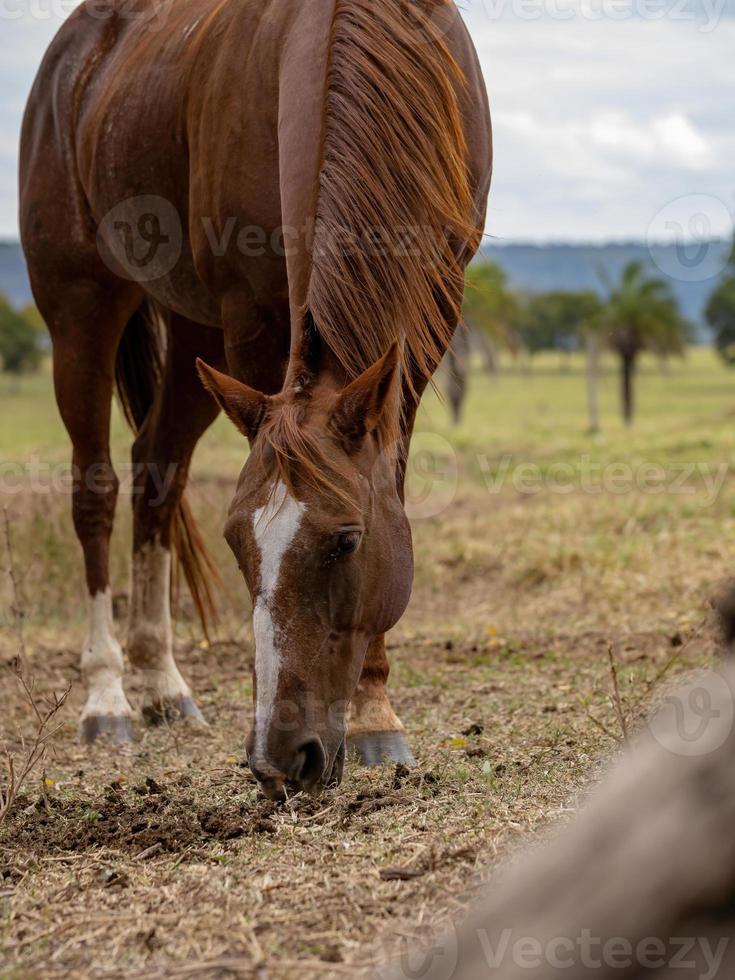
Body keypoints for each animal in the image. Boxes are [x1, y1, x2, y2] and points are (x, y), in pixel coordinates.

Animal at [21, 0, 494, 796]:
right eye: (237, 542)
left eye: (345, 542)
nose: (280, 759)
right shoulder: (251, 319)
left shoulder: (433, 305)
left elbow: (391, 486)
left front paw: (376, 712)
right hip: (82, 309)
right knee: (97, 489)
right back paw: (108, 696)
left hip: (194, 336)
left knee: (156, 470)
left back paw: (164, 685)